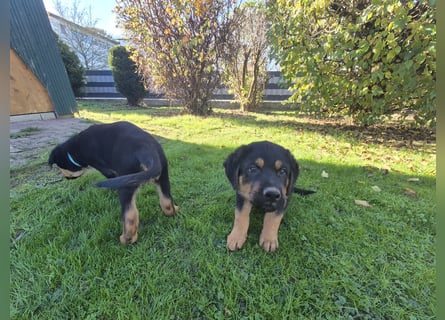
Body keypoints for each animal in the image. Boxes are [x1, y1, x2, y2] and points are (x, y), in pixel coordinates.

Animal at [49, 121, 179, 244]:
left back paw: (126, 239)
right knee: (166, 201)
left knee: (130, 215)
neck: (74, 150)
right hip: (163, 175)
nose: (66, 178)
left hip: (126, 184)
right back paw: (173, 210)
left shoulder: (103, 167)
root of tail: (145, 147)